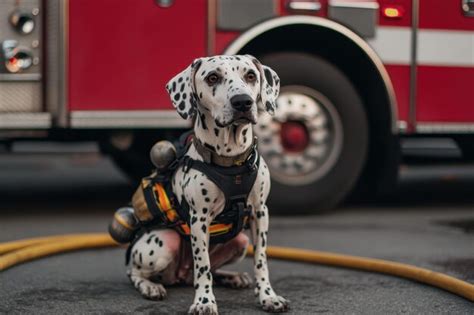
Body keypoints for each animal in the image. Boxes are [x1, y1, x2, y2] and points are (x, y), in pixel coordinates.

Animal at [127, 55, 288, 314]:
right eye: (213, 77)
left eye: (250, 76)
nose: (242, 102)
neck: (231, 162)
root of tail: (180, 275)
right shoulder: (199, 219)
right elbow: (202, 266)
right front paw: (204, 301)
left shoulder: (260, 213)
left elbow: (261, 261)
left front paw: (267, 296)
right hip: (162, 245)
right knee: (134, 272)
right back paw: (150, 287)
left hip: (240, 241)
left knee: (213, 268)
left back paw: (232, 277)